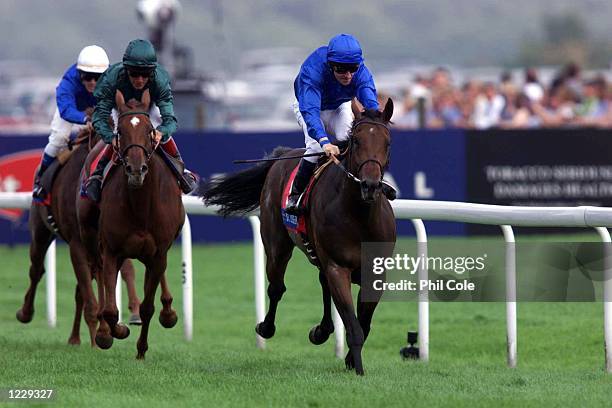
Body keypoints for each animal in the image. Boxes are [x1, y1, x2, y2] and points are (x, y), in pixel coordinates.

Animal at [17, 126, 142, 344]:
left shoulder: (114, 240)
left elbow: (123, 272)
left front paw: (129, 316)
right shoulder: (78, 243)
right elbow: (91, 300)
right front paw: (100, 337)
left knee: (80, 290)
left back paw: (77, 337)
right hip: (40, 230)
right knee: (37, 269)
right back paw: (26, 313)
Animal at [76, 91, 183, 358]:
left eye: (149, 130)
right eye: (121, 131)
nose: (136, 170)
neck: (141, 206)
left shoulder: (158, 251)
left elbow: (147, 306)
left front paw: (141, 350)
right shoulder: (112, 250)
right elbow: (111, 309)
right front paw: (112, 332)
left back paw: (169, 312)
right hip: (91, 237)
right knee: (99, 273)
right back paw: (105, 330)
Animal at [202, 99, 396, 376]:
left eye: (387, 142)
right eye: (357, 141)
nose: (370, 185)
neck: (360, 215)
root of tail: (281, 157)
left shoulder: (375, 273)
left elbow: (364, 322)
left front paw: (349, 360)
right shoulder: (338, 267)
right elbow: (354, 326)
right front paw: (357, 368)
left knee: (321, 282)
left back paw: (322, 331)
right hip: (277, 245)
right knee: (276, 287)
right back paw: (267, 328)